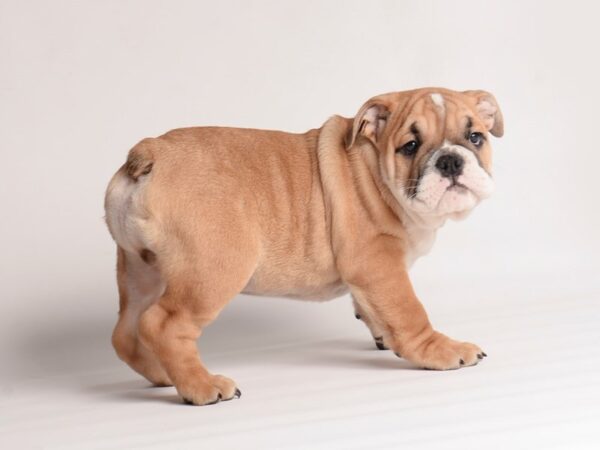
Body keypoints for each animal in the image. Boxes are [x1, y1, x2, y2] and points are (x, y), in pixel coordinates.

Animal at [104, 87, 502, 404]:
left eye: (475, 137)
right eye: (411, 146)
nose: (450, 160)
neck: (374, 171)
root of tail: (152, 151)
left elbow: (376, 309)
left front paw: (380, 333)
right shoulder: (378, 261)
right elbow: (409, 313)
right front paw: (440, 349)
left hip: (140, 270)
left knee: (126, 331)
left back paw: (163, 373)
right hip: (213, 271)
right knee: (162, 324)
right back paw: (201, 386)